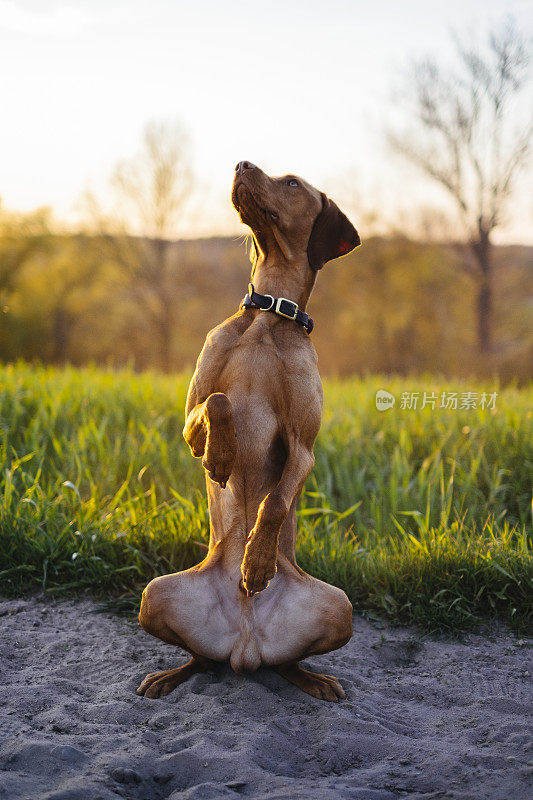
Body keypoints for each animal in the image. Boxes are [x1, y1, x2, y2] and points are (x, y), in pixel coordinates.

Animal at [137, 161, 360, 700]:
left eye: (293, 183)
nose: (240, 163)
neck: (267, 313)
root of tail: (245, 645)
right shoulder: (189, 418)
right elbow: (218, 403)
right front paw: (221, 456)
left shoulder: (303, 447)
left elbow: (275, 502)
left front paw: (257, 561)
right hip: (155, 594)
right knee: (199, 658)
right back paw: (170, 676)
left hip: (340, 607)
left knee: (287, 663)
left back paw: (313, 679)